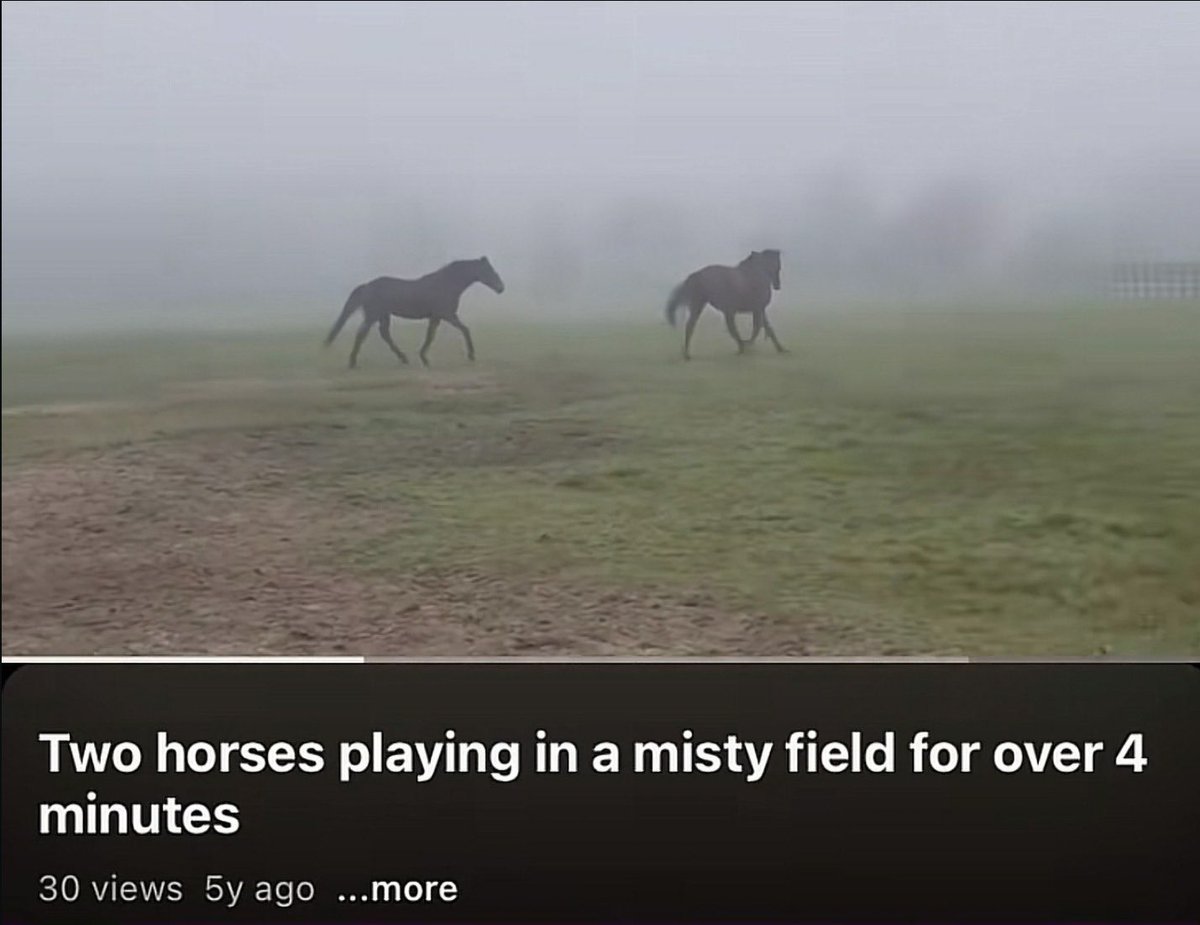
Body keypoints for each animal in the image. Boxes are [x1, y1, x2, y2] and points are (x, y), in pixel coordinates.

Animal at [324, 257, 505, 369]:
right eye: (489, 270)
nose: (501, 288)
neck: (446, 284)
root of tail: (367, 286)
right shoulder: (447, 315)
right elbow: (465, 329)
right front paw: (471, 355)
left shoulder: (436, 317)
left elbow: (430, 336)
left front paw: (424, 358)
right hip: (373, 316)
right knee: (362, 334)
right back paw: (352, 362)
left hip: (383, 316)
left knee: (384, 334)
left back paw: (403, 358)